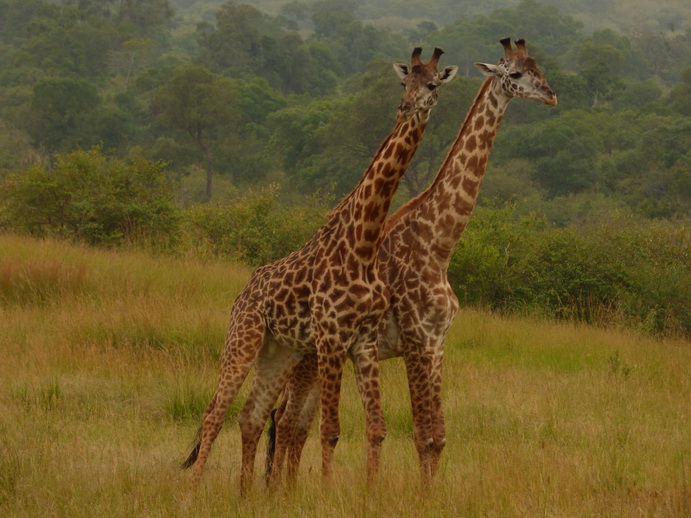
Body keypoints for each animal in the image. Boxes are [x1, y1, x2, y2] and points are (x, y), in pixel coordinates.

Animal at [181, 47, 458, 491]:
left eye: (432, 84)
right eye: (404, 82)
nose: (406, 108)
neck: (362, 241)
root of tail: (242, 294)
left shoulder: (361, 342)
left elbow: (374, 427)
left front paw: (369, 492)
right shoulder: (331, 337)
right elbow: (329, 428)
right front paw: (327, 492)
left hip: (278, 352)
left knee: (251, 416)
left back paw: (244, 492)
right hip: (243, 340)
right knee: (215, 413)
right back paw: (194, 489)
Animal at [267, 37, 557, 484]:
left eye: (538, 68)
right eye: (515, 74)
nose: (551, 95)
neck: (438, 243)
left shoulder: (438, 344)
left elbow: (439, 436)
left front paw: (429, 491)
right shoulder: (418, 341)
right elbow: (423, 435)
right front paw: (419, 492)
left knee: (291, 421)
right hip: (312, 353)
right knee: (286, 421)